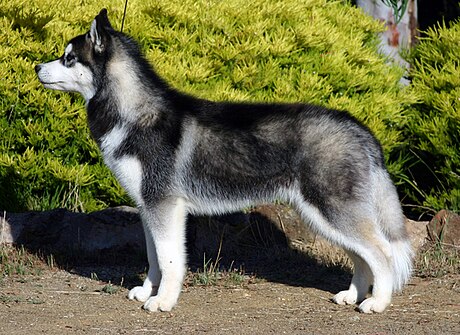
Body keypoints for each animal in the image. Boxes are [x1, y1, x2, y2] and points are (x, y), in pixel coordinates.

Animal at [36, 9, 414, 314]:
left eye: (68, 58)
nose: (37, 66)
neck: (133, 113)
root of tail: (358, 126)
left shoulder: (165, 206)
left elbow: (170, 260)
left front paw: (163, 301)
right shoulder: (149, 207)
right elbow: (154, 258)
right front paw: (147, 290)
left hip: (330, 210)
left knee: (382, 254)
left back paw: (377, 302)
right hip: (322, 215)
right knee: (362, 255)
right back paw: (354, 295)